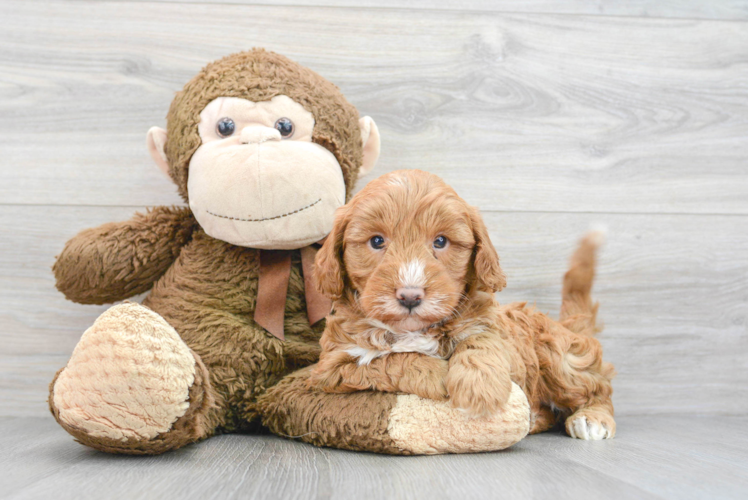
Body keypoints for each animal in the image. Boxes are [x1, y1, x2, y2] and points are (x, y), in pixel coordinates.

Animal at [306, 170, 616, 440]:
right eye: (377, 241)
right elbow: (389, 359)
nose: (410, 296)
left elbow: (480, 342)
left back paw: (593, 418)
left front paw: (480, 387)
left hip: (558, 357)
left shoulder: (491, 326)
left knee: (596, 385)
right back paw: (536, 418)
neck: (413, 330)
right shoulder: (334, 365)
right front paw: (439, 375)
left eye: (441, 241)